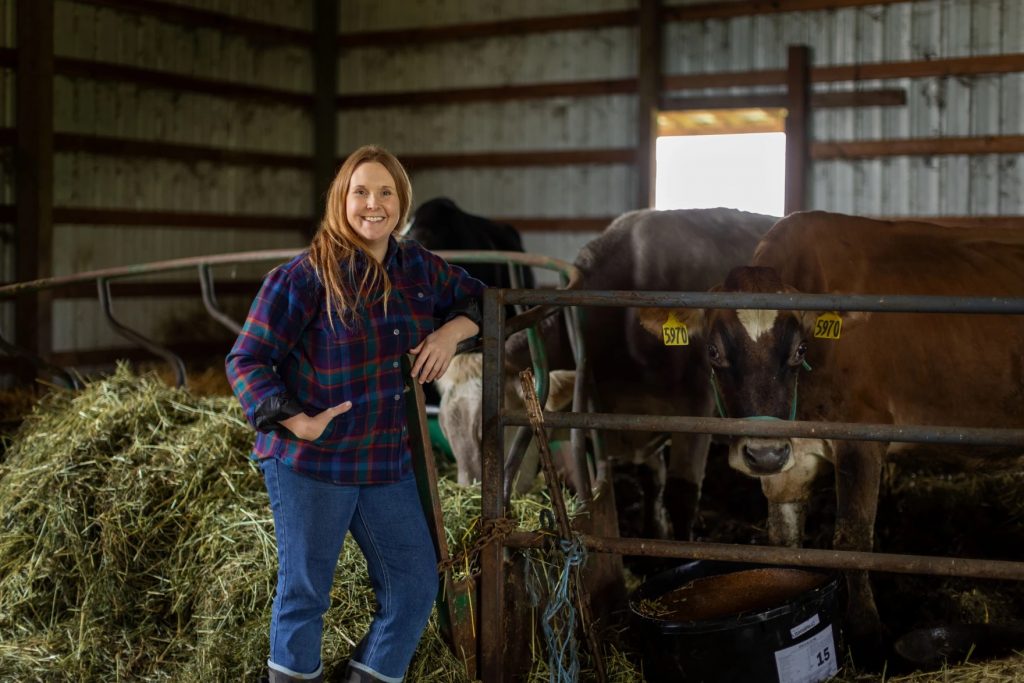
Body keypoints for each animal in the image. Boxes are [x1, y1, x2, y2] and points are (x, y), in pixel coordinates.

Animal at [638, 210, 1024, 659]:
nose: (762, 455)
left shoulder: (862, 437)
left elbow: (852, 540)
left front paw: (868, 637)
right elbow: (783, 540)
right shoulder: (792, 454)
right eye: (713, 352)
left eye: (800, 350)